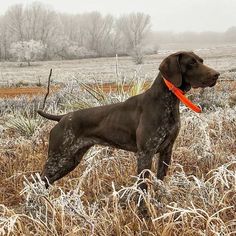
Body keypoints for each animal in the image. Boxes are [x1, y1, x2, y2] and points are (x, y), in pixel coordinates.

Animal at [37, 51, 219, 190]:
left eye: (201, 61)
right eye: (192, 63)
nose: (217, 75)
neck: (167, 102)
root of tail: (62, 117)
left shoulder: (166, 151)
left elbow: (159, 183)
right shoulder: (145, 153)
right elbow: (142, 187)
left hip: (70, 160)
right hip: (58, 158)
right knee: (38, 181)